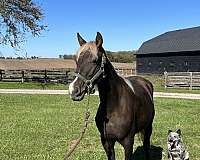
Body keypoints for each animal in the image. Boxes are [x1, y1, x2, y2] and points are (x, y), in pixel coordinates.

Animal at [69, 31, 155, 159]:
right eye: (76, 60)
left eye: (95, 60)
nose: (74, 90)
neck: (115, 107)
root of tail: (145, 82)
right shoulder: (107, 142)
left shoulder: (128, 142)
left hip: (148, 127)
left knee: (146, 146)